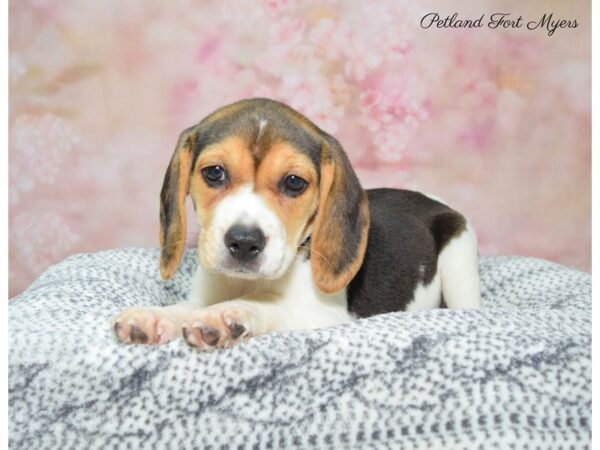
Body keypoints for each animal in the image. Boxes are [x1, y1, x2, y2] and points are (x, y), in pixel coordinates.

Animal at [112, 98, 480, 350]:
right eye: (214, 172)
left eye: (294, 182)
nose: (244, 242)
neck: (245, 283)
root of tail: (436, 201)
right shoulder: (205, 294)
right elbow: (184, 307)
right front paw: (153, 316)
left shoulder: (324, 315)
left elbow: (265, 304)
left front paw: (225, 316)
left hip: (459, 262)